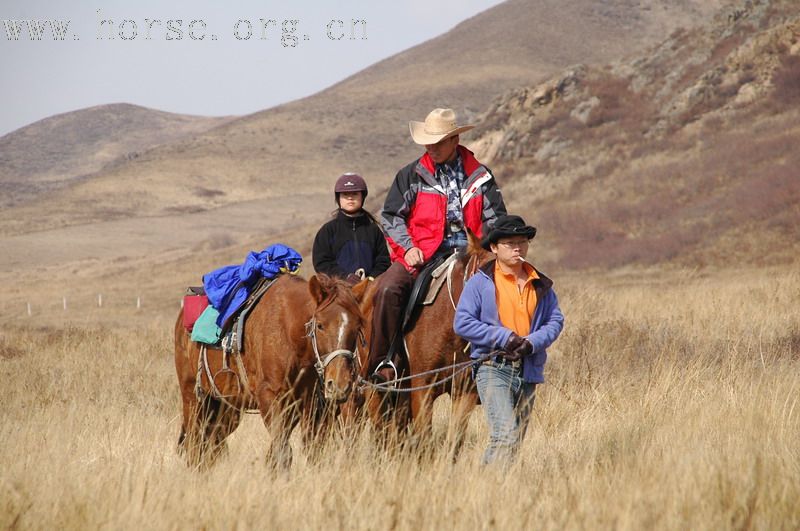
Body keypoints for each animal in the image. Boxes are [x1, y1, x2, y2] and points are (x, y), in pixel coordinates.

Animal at [173, 274, 368, 470]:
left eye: (357, 326)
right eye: (320, 325)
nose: (339, 385)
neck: (289, 330)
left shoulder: (308, 402)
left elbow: (305, 449)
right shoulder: (269, 396)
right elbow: (282, 452)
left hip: (226, 408)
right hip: (193, 398)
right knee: (194, 445)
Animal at [352, 235, 494, 460]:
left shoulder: (464, 392)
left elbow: (454, 441)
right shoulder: (422, 388)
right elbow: (425, 440)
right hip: (374, 387)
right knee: (381, 428)